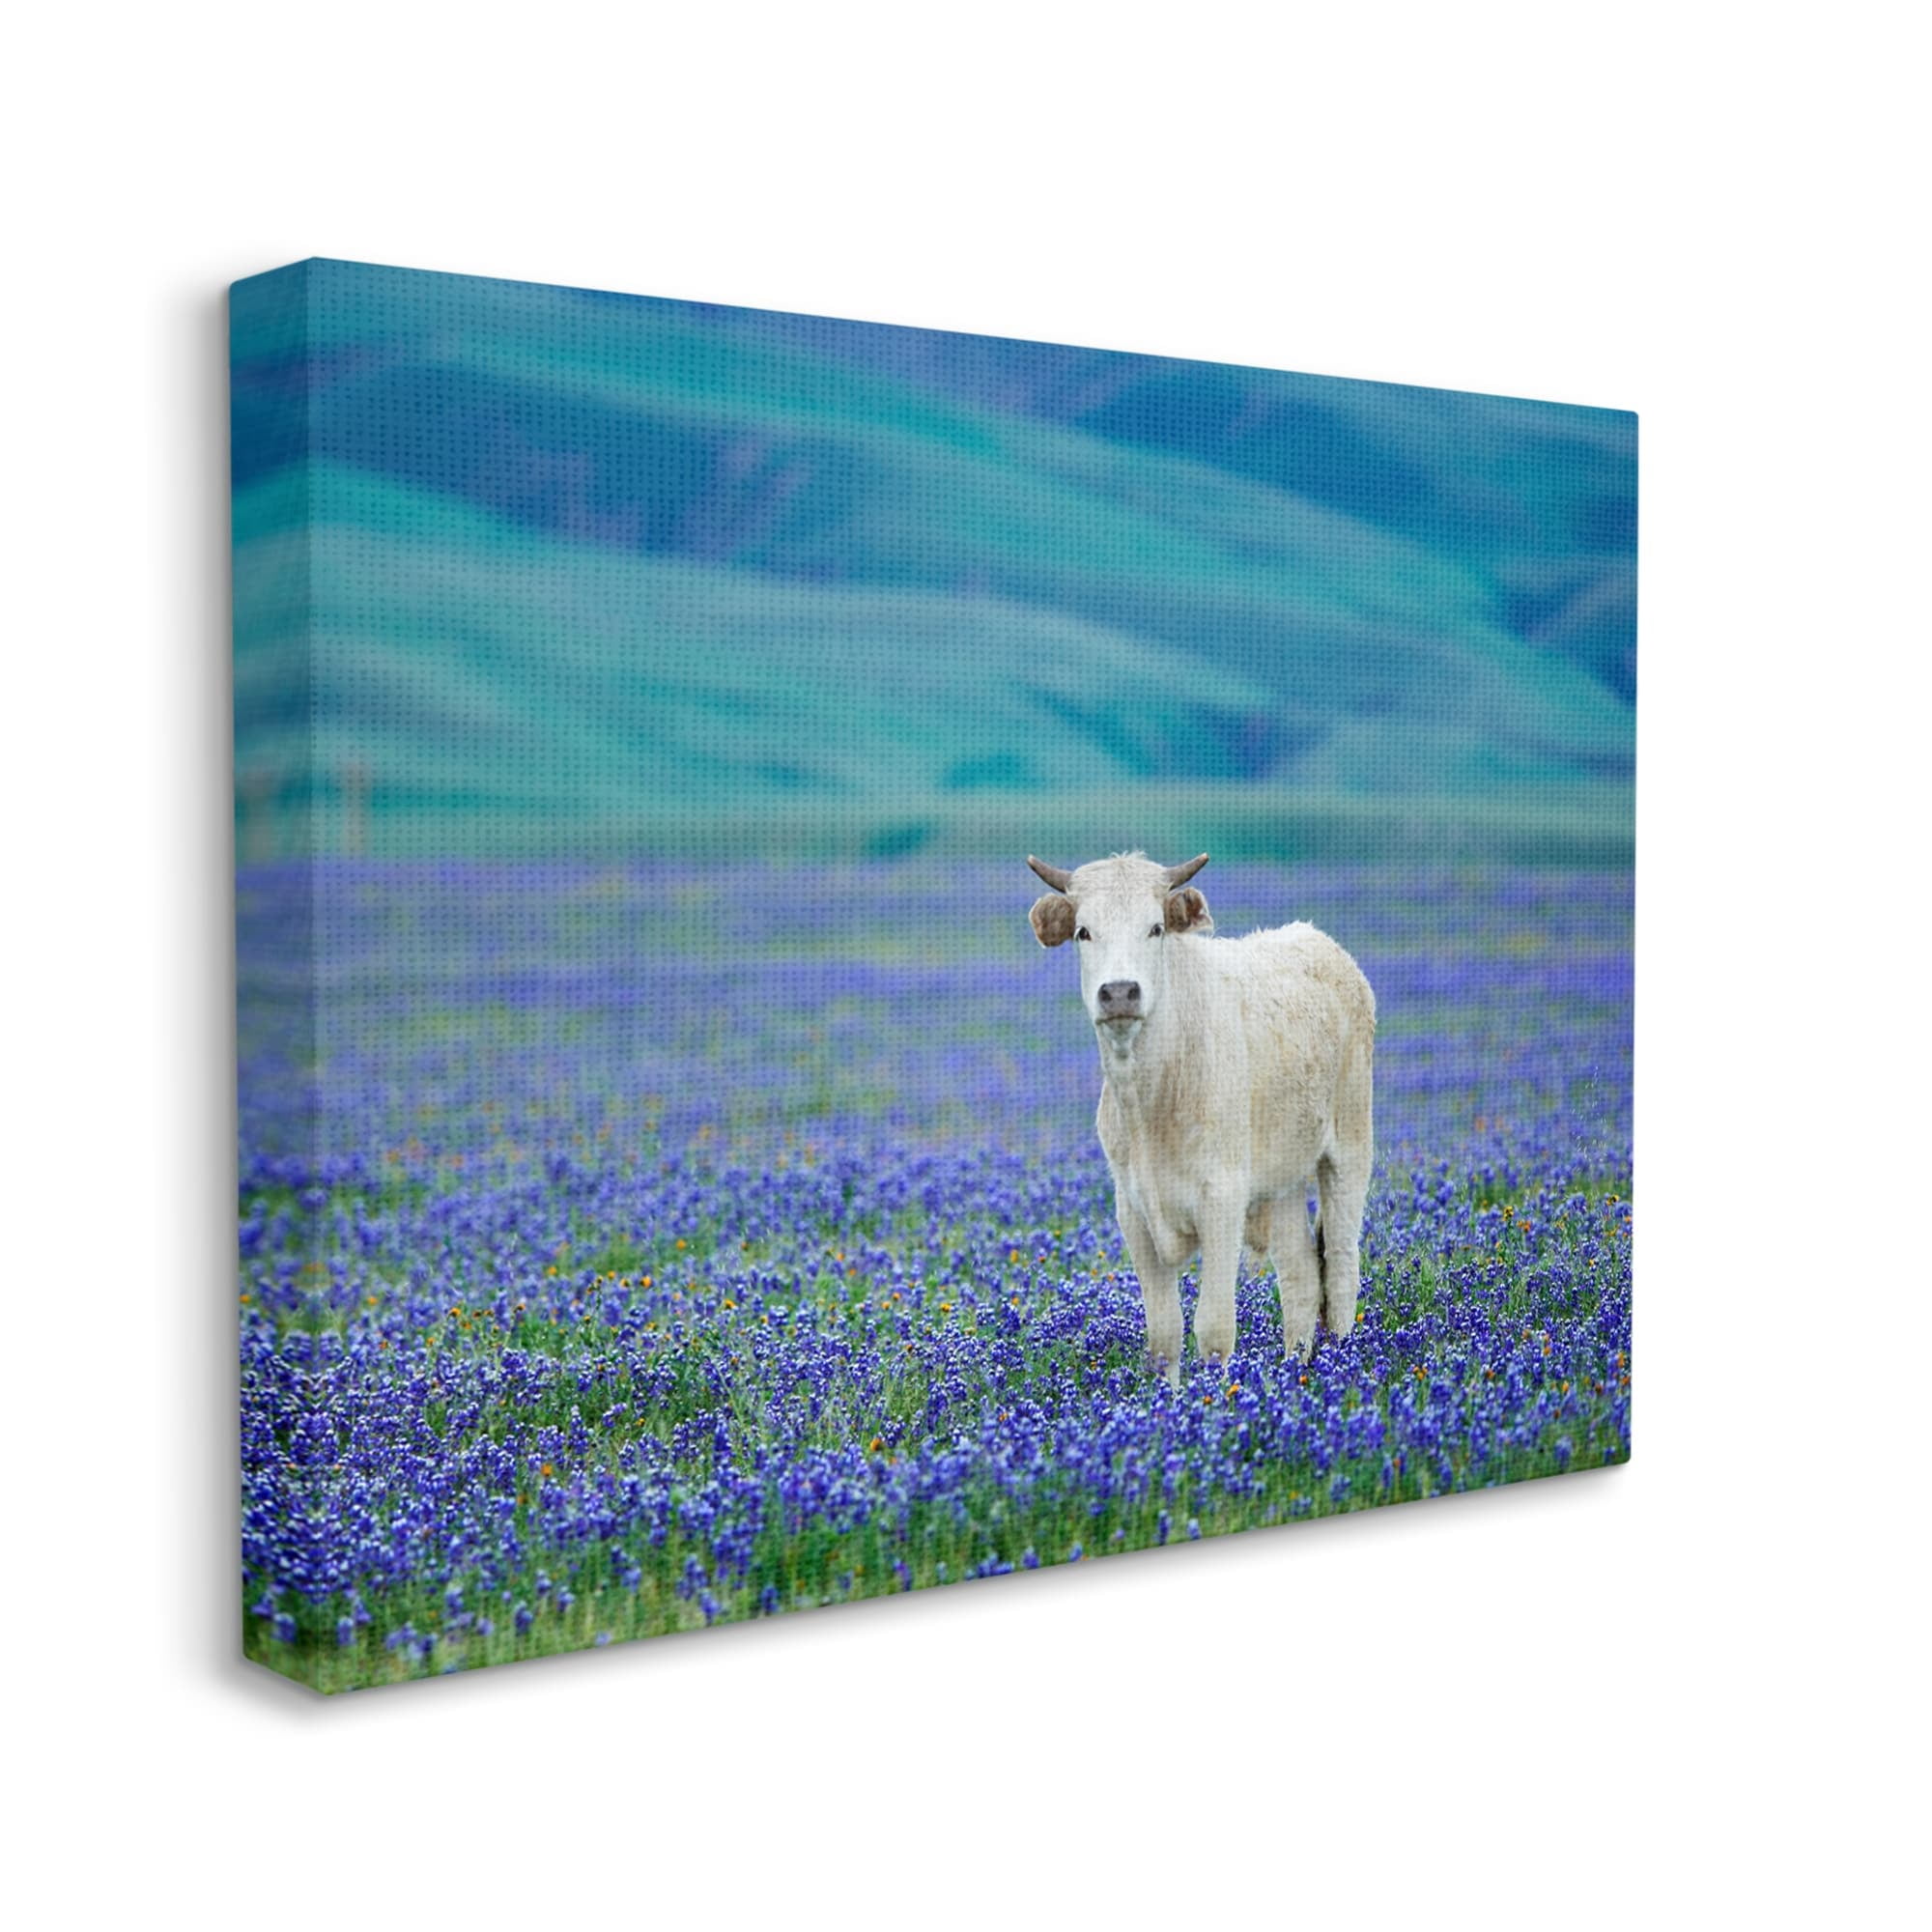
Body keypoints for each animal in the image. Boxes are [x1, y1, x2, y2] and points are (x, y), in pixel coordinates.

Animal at [1026, 851, 1375, 1384]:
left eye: (1155, 928)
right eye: (1084, 931)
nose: (1120, 992)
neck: (1149, 1100)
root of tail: (1316, 939)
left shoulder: (1222, 1201)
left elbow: (1213, 1328)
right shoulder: (1133, 1212)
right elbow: (1164, 1334)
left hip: (1348, 1151)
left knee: (1338, 1269)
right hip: (1283, 1180)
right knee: (1299, 1278)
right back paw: (1293, 1377)